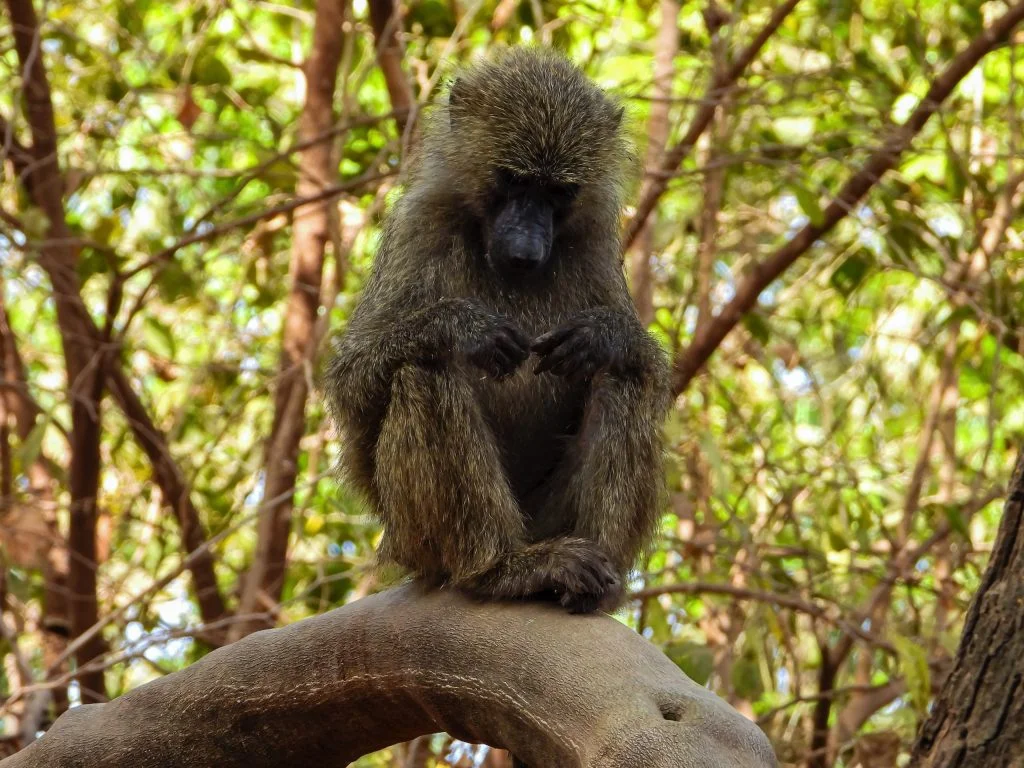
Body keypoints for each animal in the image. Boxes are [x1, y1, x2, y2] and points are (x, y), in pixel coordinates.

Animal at [323, 46, 667, 614]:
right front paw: (461, 327)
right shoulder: (419, 225)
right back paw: (501, 569)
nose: (525, 251)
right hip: (414, 540)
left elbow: (649, 371)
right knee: (424, 371)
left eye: (559, 192)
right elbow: (351, 385)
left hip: (548, 519)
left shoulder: (596, 239)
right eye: (512, 180)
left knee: (625, 379)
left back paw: (593, 583)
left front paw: (605, 335)